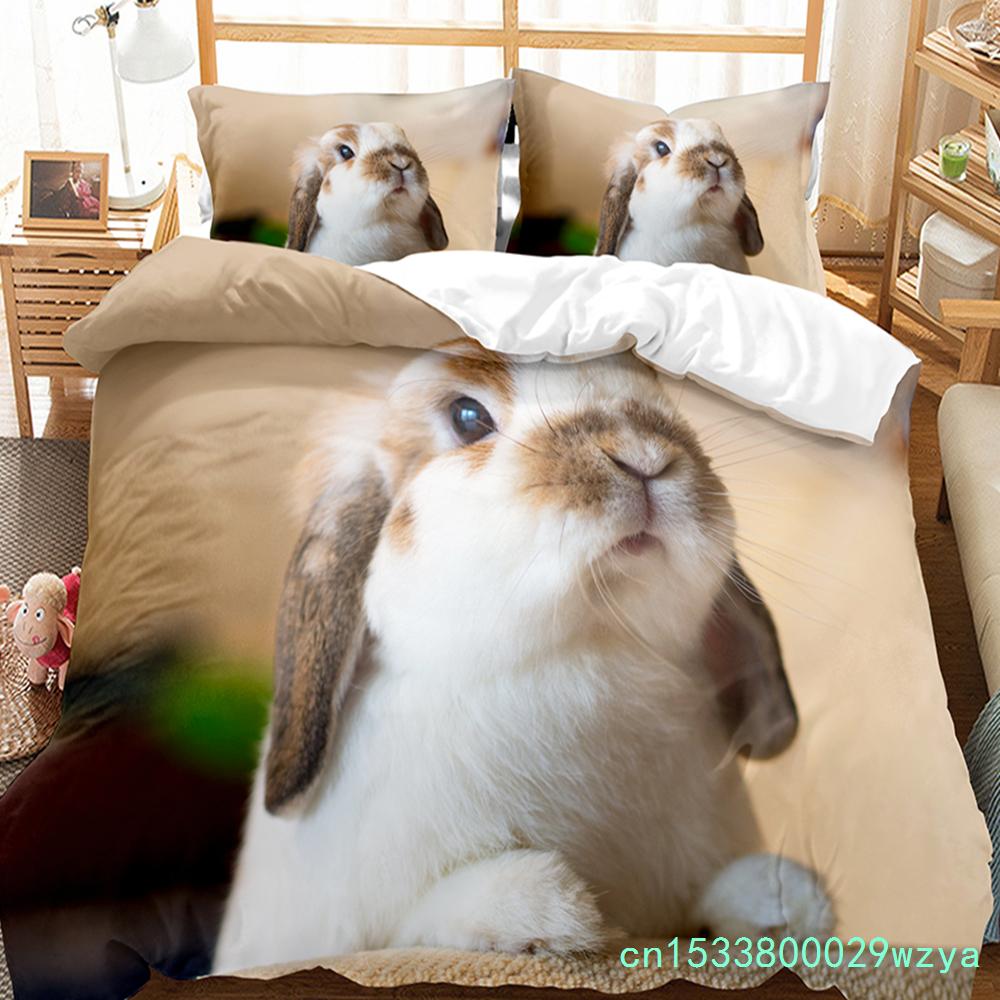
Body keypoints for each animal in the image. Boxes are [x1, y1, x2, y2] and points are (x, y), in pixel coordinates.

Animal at [212, 344, 831, 973]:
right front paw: (549, 911)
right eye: (468, 418)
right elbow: (421, 924)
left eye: (653, 388)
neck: (589, 647)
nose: (646, 458)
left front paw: (790, 901)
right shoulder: (369, 932)